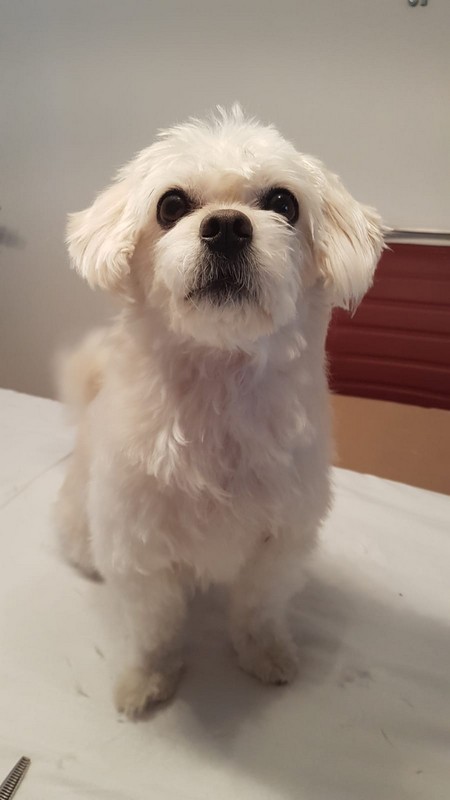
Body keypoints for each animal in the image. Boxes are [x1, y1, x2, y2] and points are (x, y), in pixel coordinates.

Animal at [55, 105, 384, 718]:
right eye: (171, 206)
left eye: (283, 202)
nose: (228, 226)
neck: (218, 393)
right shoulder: (140, 552)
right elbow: (157, 627)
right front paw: (149, 678)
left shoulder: (280, 539)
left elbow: (257, 606)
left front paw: (264, 652)